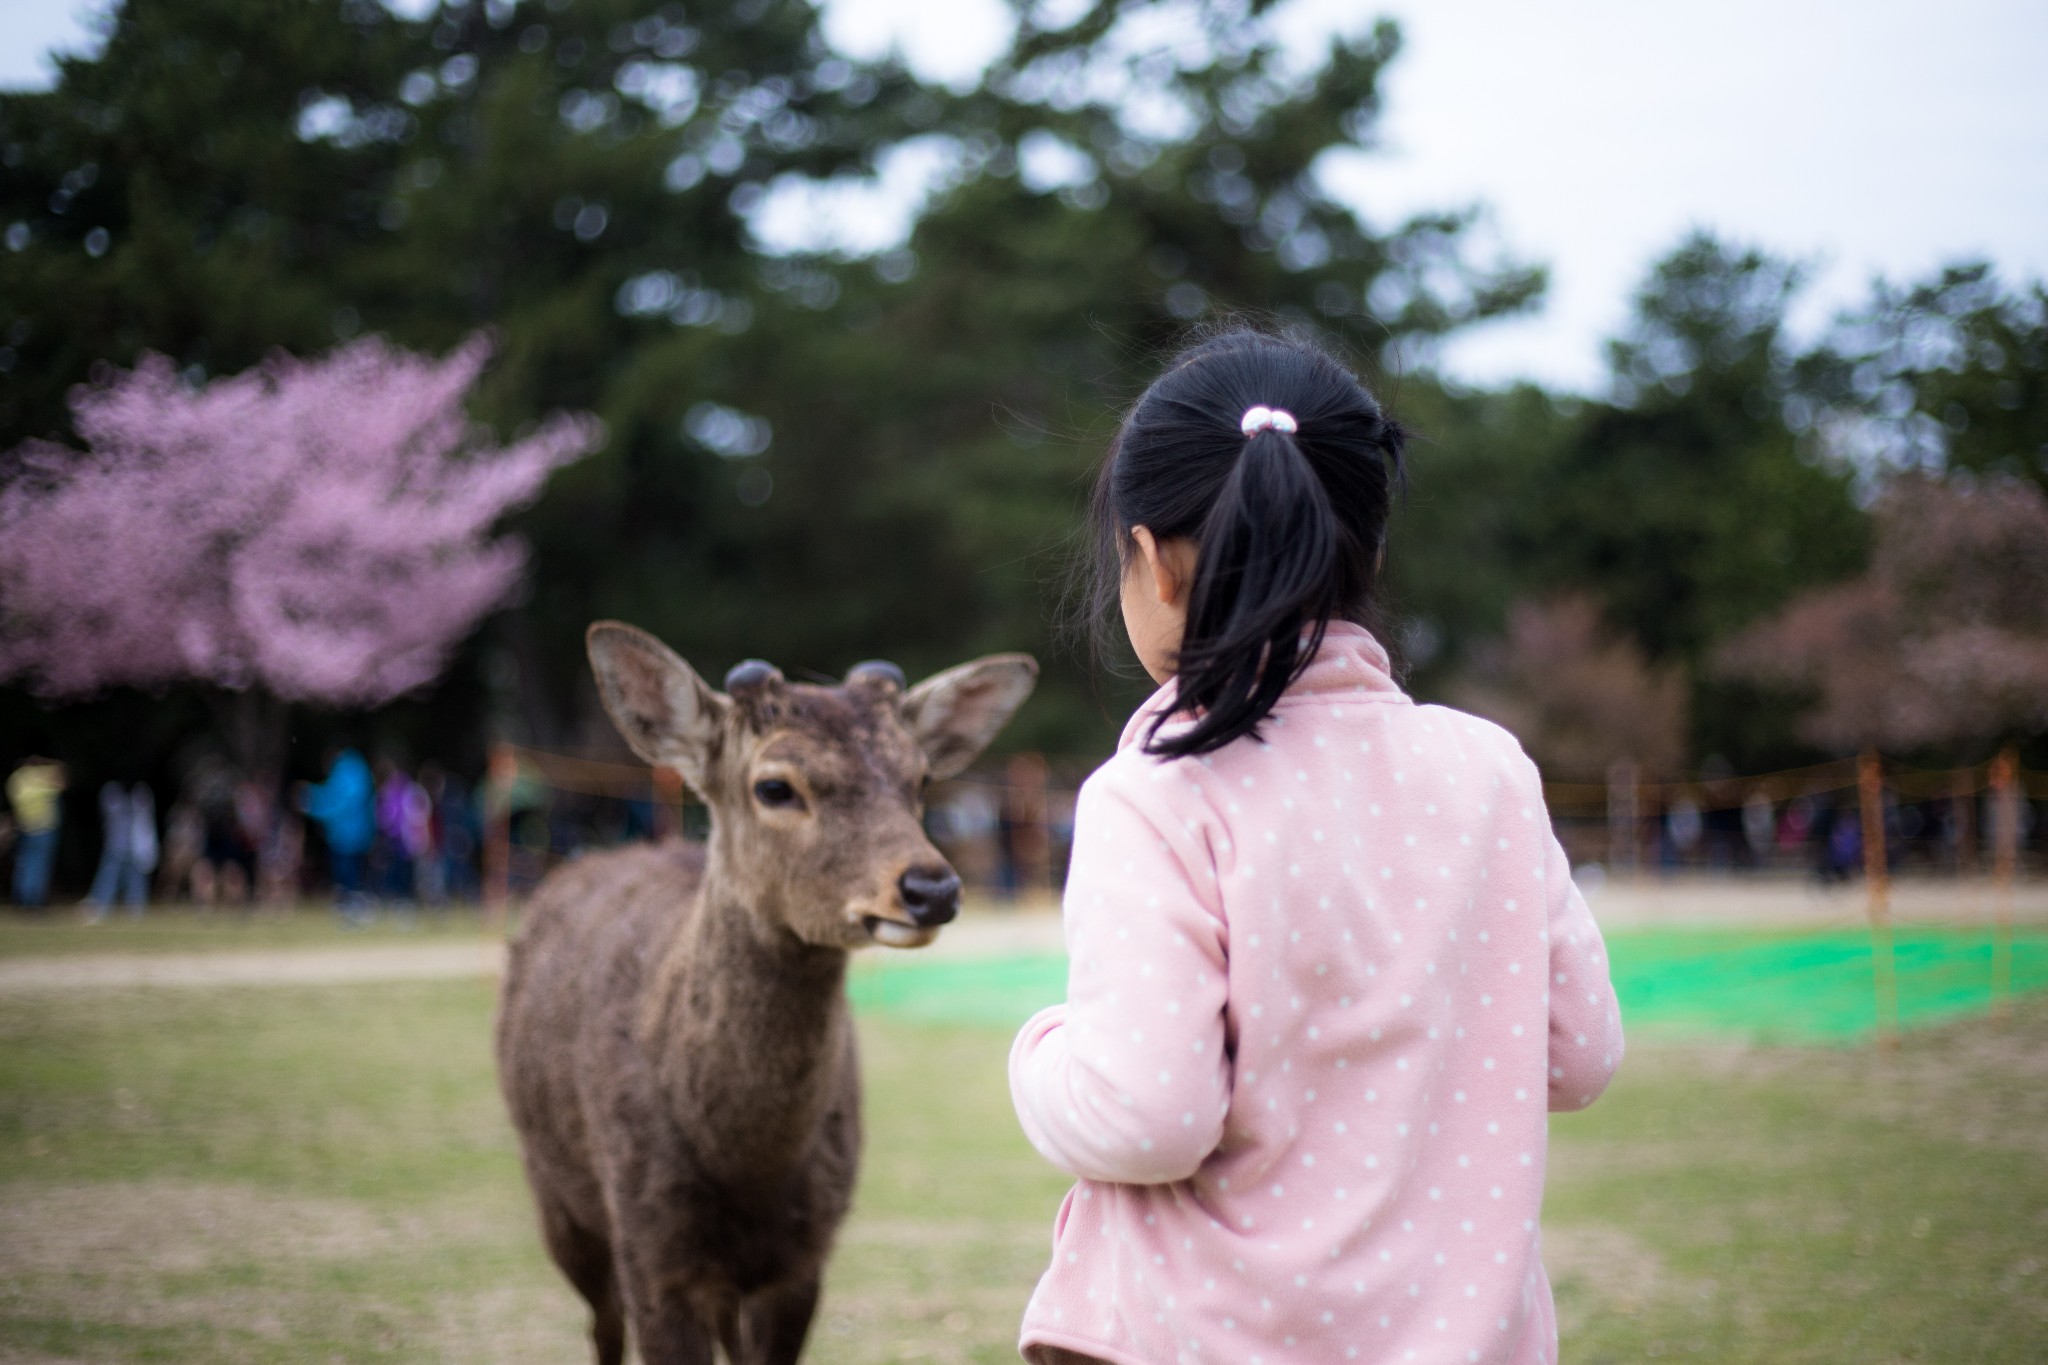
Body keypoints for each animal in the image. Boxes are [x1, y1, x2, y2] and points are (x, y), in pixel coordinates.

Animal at [497, 622, 1040, 1365]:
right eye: (775, 786)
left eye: (921, 777)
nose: (932, 888)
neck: (749, 1166)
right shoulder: (650, 1244)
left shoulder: (804, 1255)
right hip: (556, 1195)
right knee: (601, 1325)